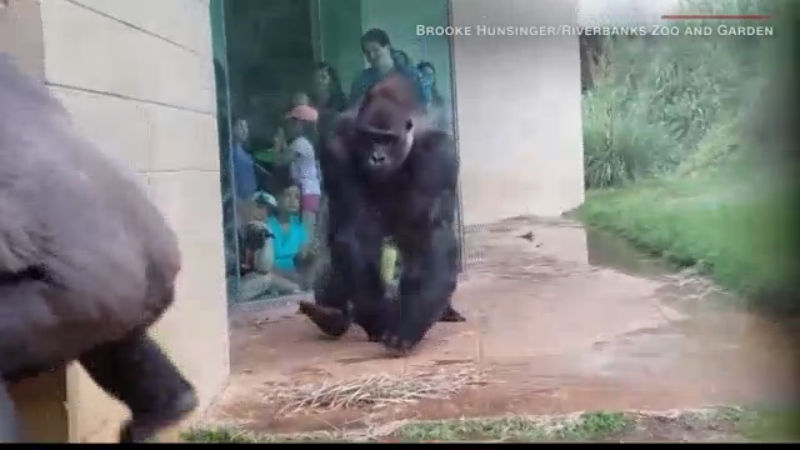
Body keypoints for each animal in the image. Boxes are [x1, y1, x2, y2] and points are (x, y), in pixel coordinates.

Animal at [298, 74, 462, 354]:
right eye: (370, 137)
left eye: (387, 139)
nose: (377, 158)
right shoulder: (336, 149)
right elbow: (355, 235)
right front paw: (381, 318)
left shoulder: (440, 154)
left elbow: (431, 236)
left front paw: (409, 324)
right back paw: (332, 315)